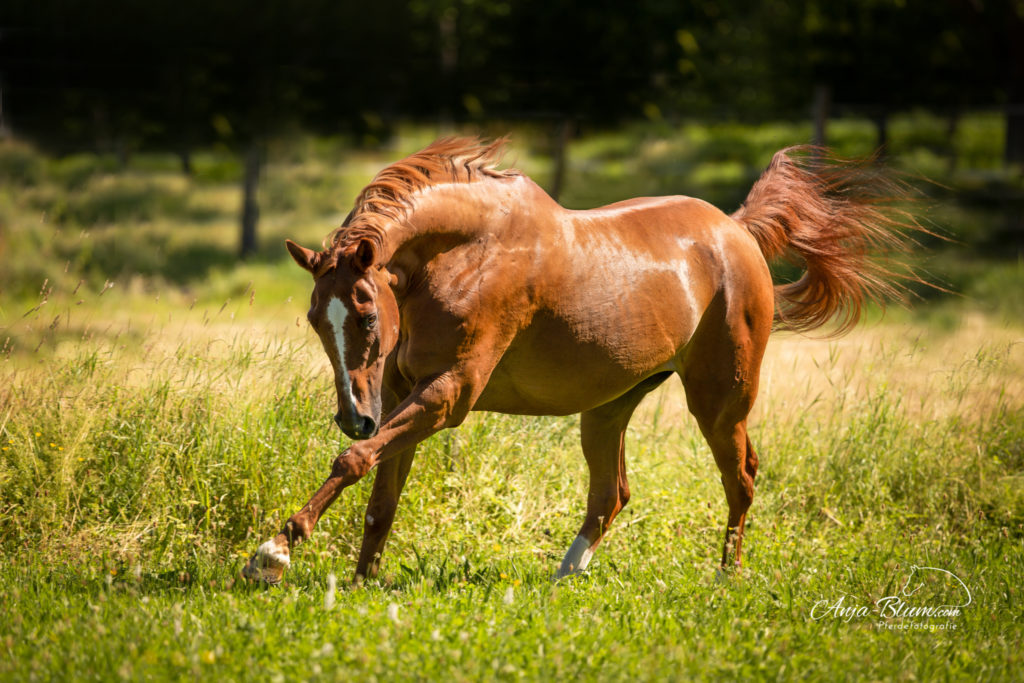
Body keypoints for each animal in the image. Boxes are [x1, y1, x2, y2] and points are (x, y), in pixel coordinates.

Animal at [242, 137, 912, 585]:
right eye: (315, 319)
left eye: (364, 315)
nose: (354, 416)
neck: (464, 254)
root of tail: (737, 231)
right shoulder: (407, 393)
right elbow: (381, 494)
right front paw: (360, 582)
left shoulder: (447, 395)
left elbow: (355, 461)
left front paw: (274, 552)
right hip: (608, 409)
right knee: (611, 494)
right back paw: (564, 577)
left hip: (720, 401)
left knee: (740, 476)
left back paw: (726, 576)